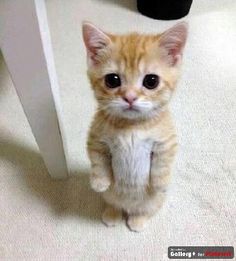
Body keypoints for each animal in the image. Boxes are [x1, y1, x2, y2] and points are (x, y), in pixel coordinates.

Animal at [82, 21, 188, 230]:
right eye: (112, 80)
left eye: (151, 81)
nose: (130, 97)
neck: (131, 127)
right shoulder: (96, 138)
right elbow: (98, 160)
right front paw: (99, 181)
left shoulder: (166, 141)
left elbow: (163, 163)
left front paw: (160, 183)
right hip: (110, 197)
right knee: (114, 203)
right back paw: (112, 213)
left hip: (153, 203)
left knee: (145, 210)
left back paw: (137, 220)